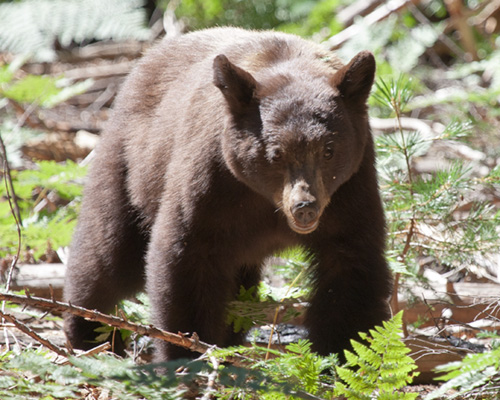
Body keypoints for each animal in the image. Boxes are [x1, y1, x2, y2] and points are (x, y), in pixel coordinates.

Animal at [62, 26, 392, 360]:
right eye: (276, 154)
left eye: (328, 150)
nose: (305, 207)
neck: (266, 201)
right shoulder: (210, 183)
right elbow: (184, 258)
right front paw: (186, 353)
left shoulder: (352, 187)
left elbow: (350, 265)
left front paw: (343, 355)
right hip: (130, 165)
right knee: (107, 253)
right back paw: (90, 333)